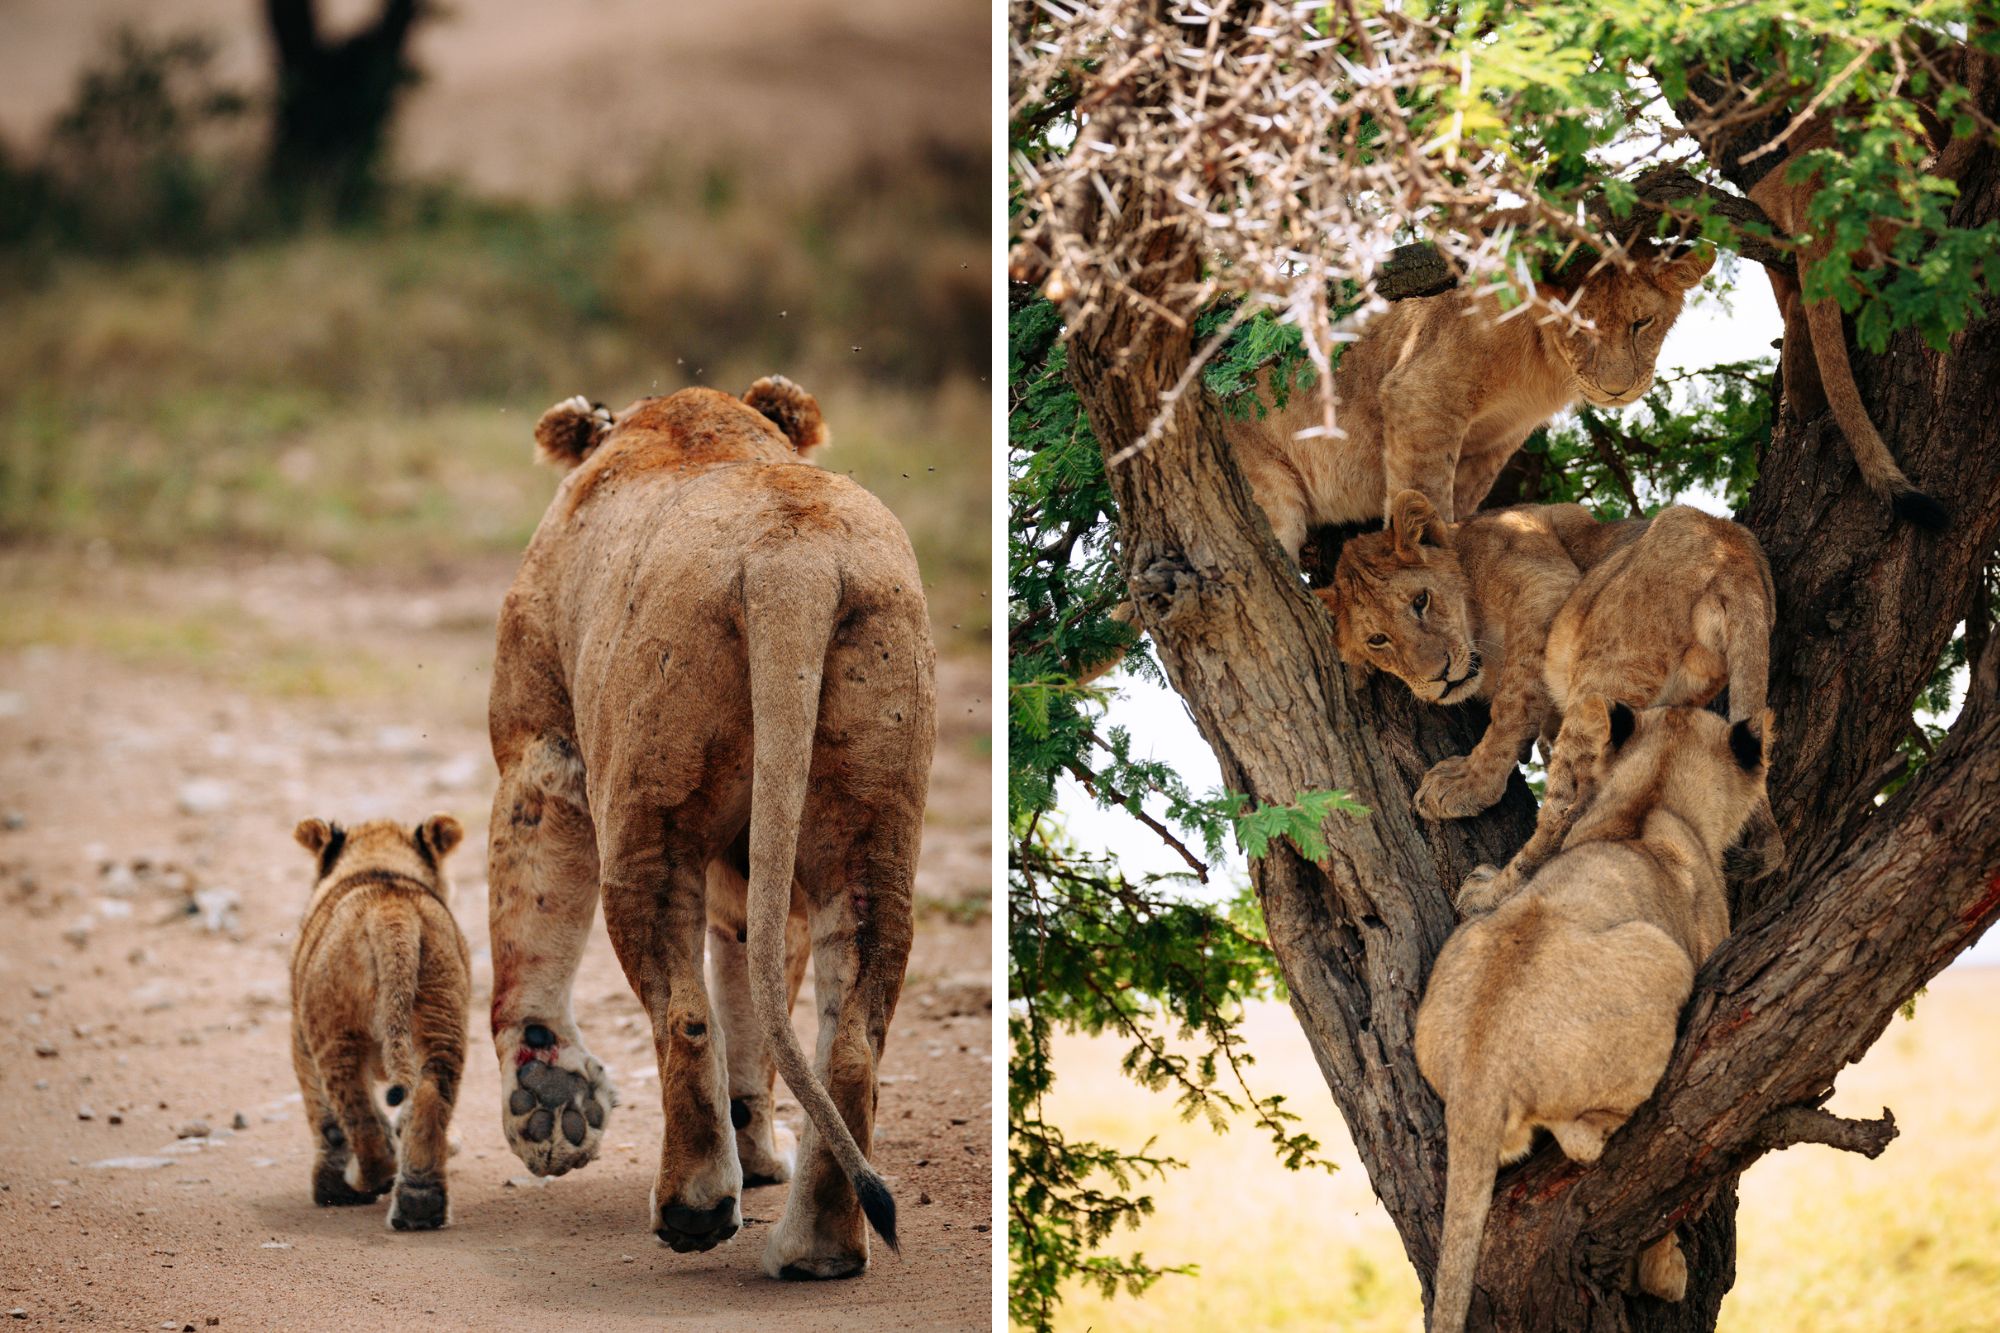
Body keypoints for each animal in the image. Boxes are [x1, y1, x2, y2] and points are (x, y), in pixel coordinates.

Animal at [290, 814, 470, 1231]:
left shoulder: (299, 1038)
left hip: (335, 1034)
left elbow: (323, 1116)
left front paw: (329, 1188)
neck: (379, 866)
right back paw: (420, 1207)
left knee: (358, 1120)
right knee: (430, 1097)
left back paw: (361, 1180)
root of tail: (392, 913)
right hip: (444, 1020)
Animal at [486, 376, 936, 1279]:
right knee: (848, 1043)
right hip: (870, 831)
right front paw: (759, 1157)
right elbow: (753, 1004)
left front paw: (546, 1103)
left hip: (648, 818)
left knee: (685, 1013)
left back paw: (694, 1204)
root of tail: (793, 562)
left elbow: (530, 928)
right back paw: (817, 1247)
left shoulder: (541, 751)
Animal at [1229, 241, 1714, 560]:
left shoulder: (1491, 443)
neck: (1543, 365)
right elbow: (1424, 492)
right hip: (1264, 480)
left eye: (1642, 322)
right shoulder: (1420, 394)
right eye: (1578, 322)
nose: (1617, 389)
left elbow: (1458, 502)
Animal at [1315, 491, 1781, 907]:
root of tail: (1732, 559)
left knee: (1565, 812)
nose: (1439, 677)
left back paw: (1489, 895)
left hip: (1598, 660)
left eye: (1421, 600)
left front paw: (1469, 781)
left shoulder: (1545, 589)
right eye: (1378, 640)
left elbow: (1511, 705)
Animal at [1414, 700, 1771, 1332]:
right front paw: (1664, 1274)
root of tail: (1482, 1071)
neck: (1651, 794)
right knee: (1590, 1147)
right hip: (1662, 958)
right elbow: (1667, 1209)